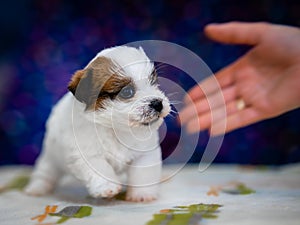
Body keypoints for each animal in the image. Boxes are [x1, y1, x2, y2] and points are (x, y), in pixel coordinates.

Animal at [24, 45, 170, 202]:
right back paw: (37, 188)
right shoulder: (87, 154)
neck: (115, 128)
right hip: (51, 157)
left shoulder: (145, 153)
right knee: (45, 173)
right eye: (127, 92)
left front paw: (142, 194)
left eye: (153, 82)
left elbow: (143, 173)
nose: (158, 103)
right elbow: (100, 167)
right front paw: (108, 187)